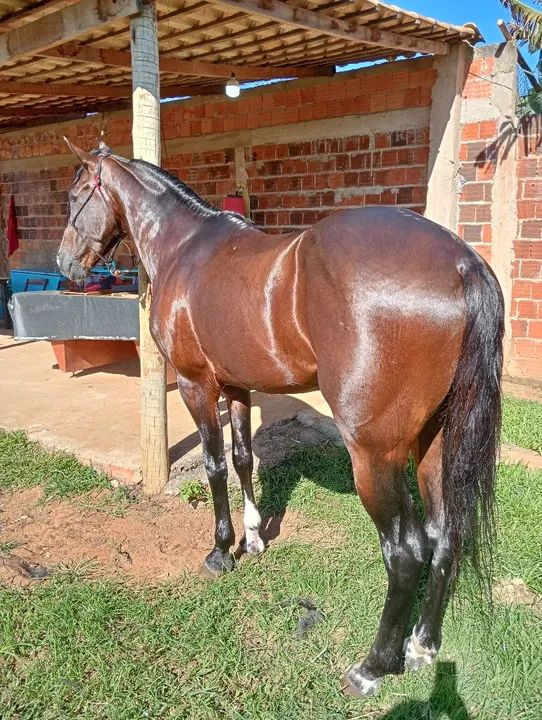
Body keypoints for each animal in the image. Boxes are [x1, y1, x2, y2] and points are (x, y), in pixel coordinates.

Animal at [57, 139, 504, 698]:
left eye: (75, 194)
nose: (65, 264)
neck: (184, 247)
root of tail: (463, 264)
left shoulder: (196, 386)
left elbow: (214, 466)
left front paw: (221, 551)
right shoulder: (236, 386)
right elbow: (244, 458)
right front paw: (253, 537)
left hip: (375, 455)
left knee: (405, 551)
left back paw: (373, 666)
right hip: (436, 441)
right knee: (447, 535)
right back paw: (422, 647)